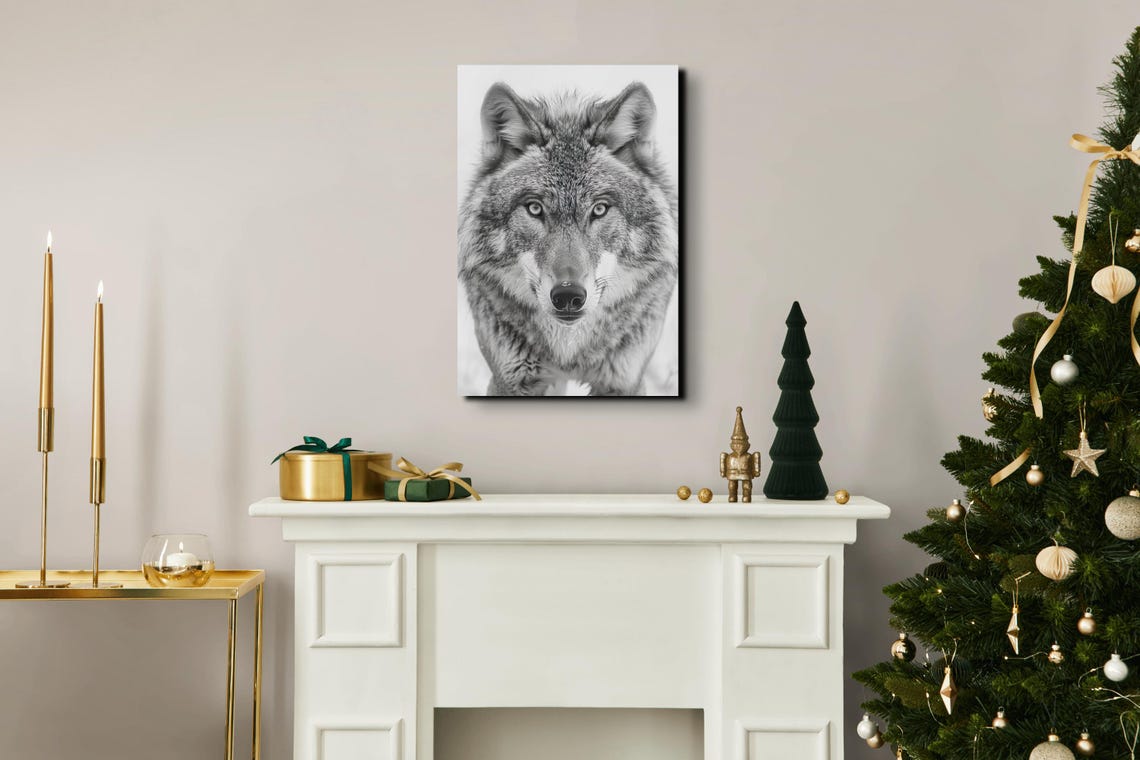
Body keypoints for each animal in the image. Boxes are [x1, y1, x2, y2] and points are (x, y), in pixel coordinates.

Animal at [459, 79, 678, 396]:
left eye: (599, 209)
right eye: (534, 208)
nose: (567, 296)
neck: (568, 351)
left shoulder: (624, 380)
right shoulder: (510, 379)